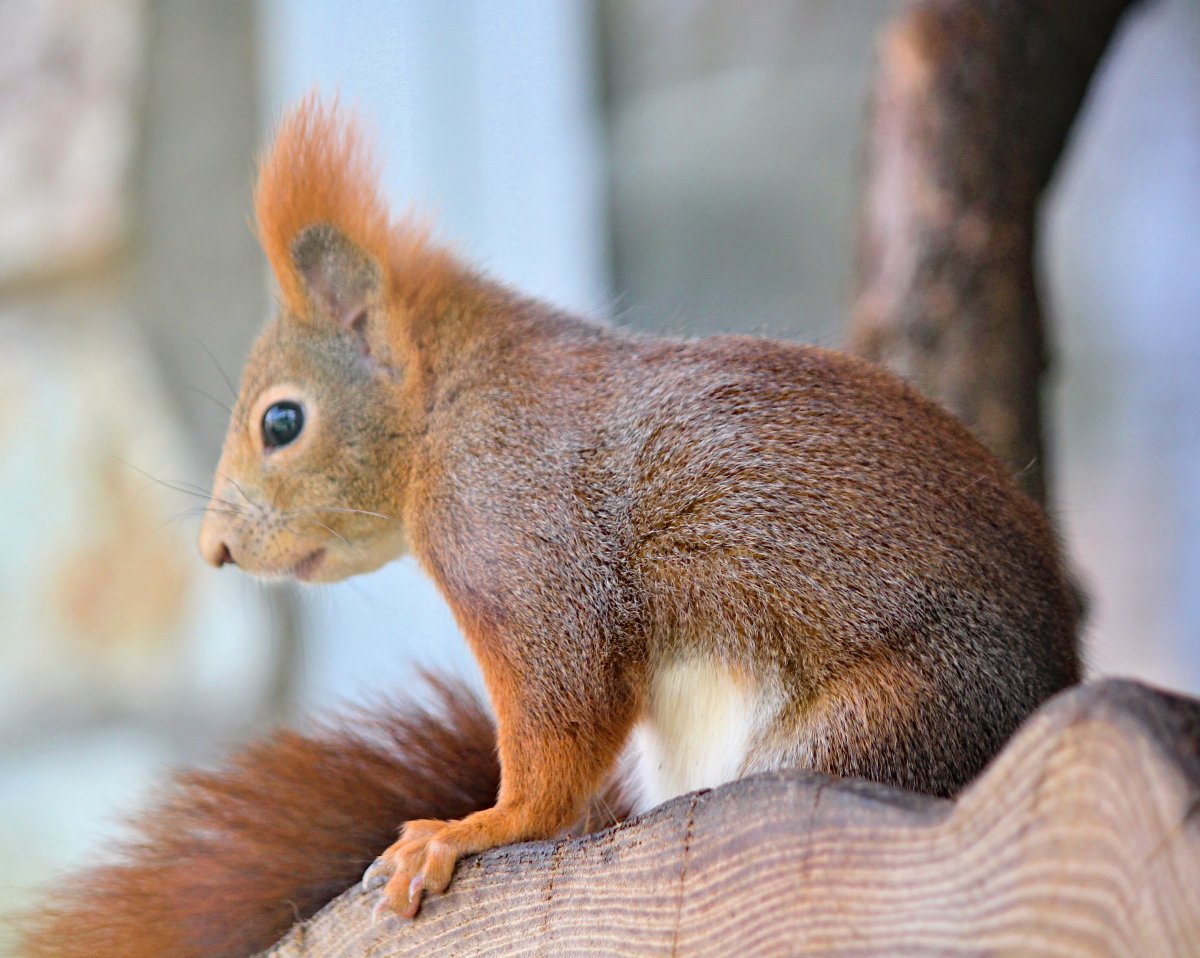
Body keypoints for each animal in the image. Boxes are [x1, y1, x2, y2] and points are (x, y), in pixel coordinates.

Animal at [18, 91, 1080, 958]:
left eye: (282, 422)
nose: (216, 550)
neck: (451, 401)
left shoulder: (515, 524)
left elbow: (562, 709)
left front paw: (472, 828)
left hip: (879, 733)